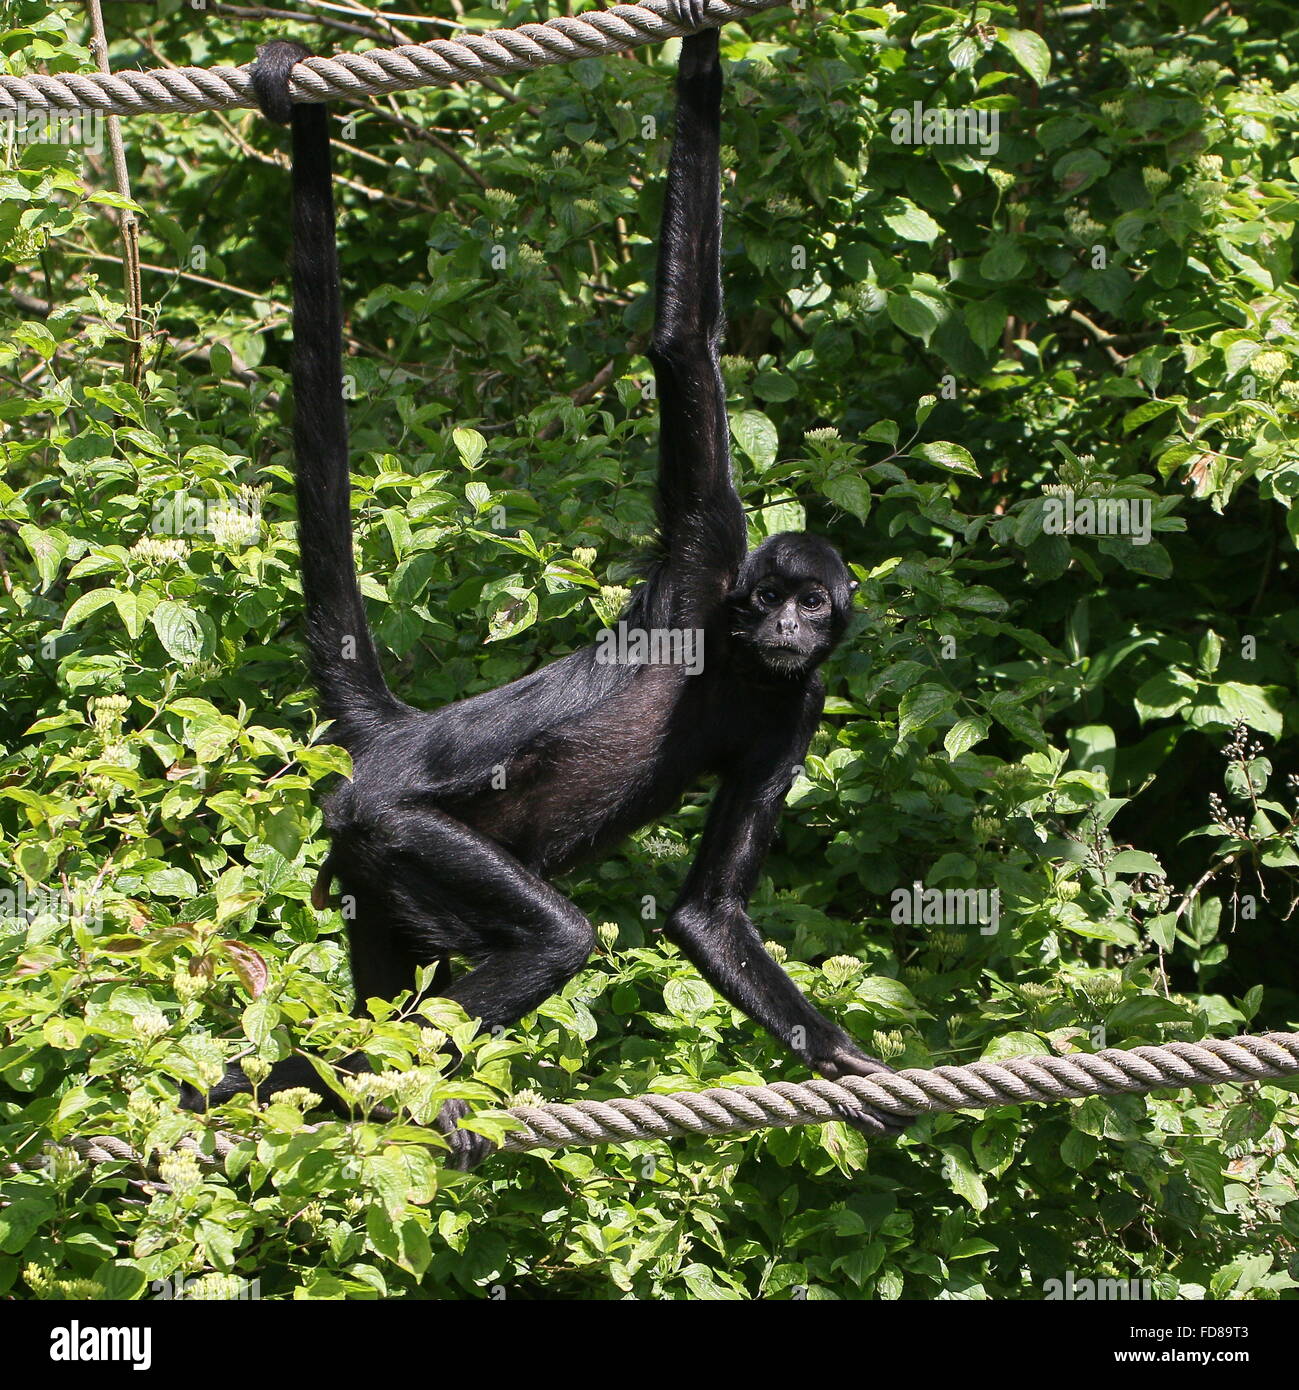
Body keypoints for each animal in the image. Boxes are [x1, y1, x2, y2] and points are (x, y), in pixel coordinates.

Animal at [183, 19, 911, 1162]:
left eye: (813, 605)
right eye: (768, 598)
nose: (788, 626)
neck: (738, 665)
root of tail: (400, 734)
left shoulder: (802, 700)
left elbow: (707, 914)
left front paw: (841, 1061)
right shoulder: (705, 554)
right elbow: (683, 342)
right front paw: (701, 44)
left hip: (372, 877)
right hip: (391, 825)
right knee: (554, 936)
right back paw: (378, 1087)